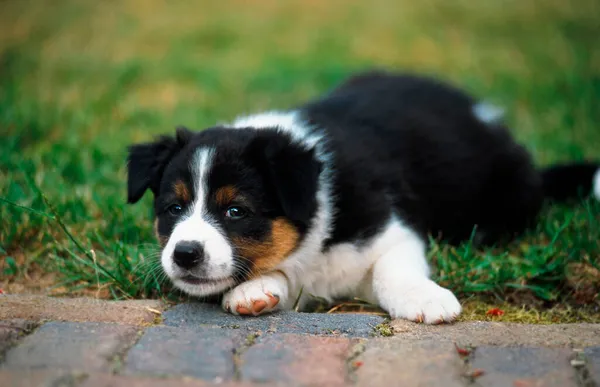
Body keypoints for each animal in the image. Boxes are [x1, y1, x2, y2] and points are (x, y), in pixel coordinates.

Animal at [126, 70, 600, 324]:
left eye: (236, 211)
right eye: (174, 208)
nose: (185, 254)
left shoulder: (391, 228)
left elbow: (392, 270)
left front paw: (425, 299)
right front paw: (256, 290)